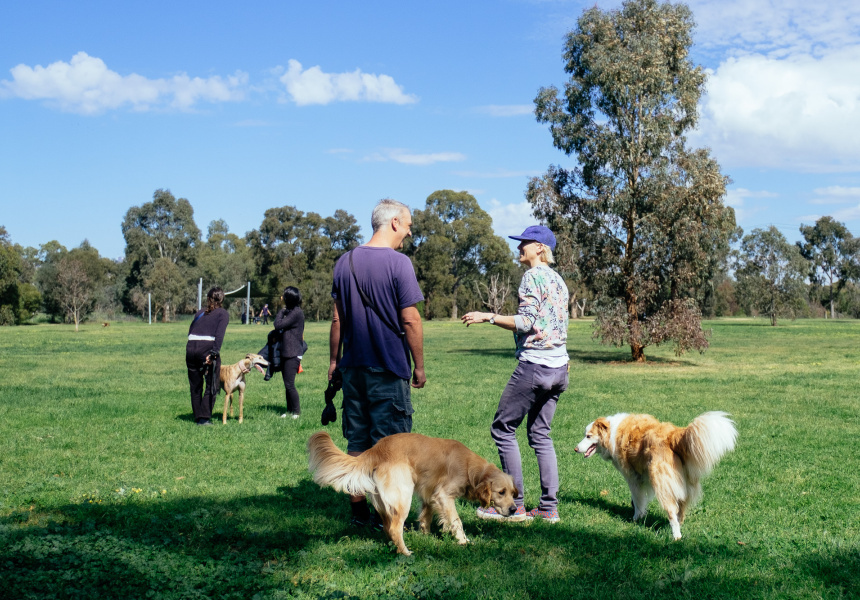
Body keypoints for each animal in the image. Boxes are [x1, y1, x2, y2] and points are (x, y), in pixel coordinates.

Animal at [308, 432, 516, 552]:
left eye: (513, 493)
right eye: (501, 492)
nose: (514, 509)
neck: (469, 467)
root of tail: (375, 450)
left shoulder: (429, 495)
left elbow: (426, 518)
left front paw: (427, 536)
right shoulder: (443, 495)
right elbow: (457, 521)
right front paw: (464, 541)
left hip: (384, 503)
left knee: (388, 528)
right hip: (403, 495)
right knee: (395, 528)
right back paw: (406, 553)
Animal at [576, 412, 736, 540]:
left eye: (588, 436)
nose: (575, 449)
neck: (613, 432)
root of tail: (674, 436)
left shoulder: (633, 478)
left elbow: (638, 500)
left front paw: (636, 518)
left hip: (662, 484)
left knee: (672, 512)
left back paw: (676, 536)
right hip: (684, 486)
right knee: (680, 511)